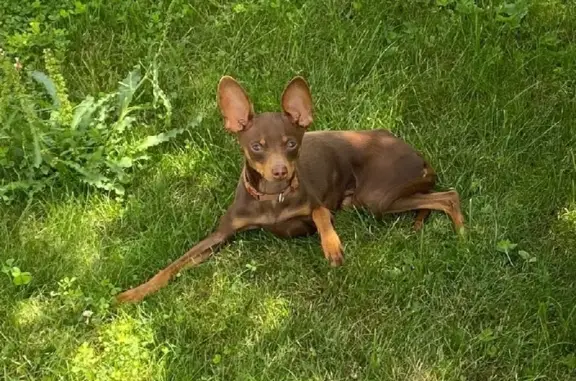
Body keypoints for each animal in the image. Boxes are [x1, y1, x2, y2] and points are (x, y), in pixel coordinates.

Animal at [117, 76, 464, 302]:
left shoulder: (314, 210)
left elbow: (321, 215)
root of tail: (417, 154)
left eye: (291, 144)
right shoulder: (219, 236)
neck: (272, 199)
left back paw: (462, 235)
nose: (280, 170)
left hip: (377, 197)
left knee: (449, 196)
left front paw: (332, 246)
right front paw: (133, 294)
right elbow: (172, 266)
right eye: (256, 146)